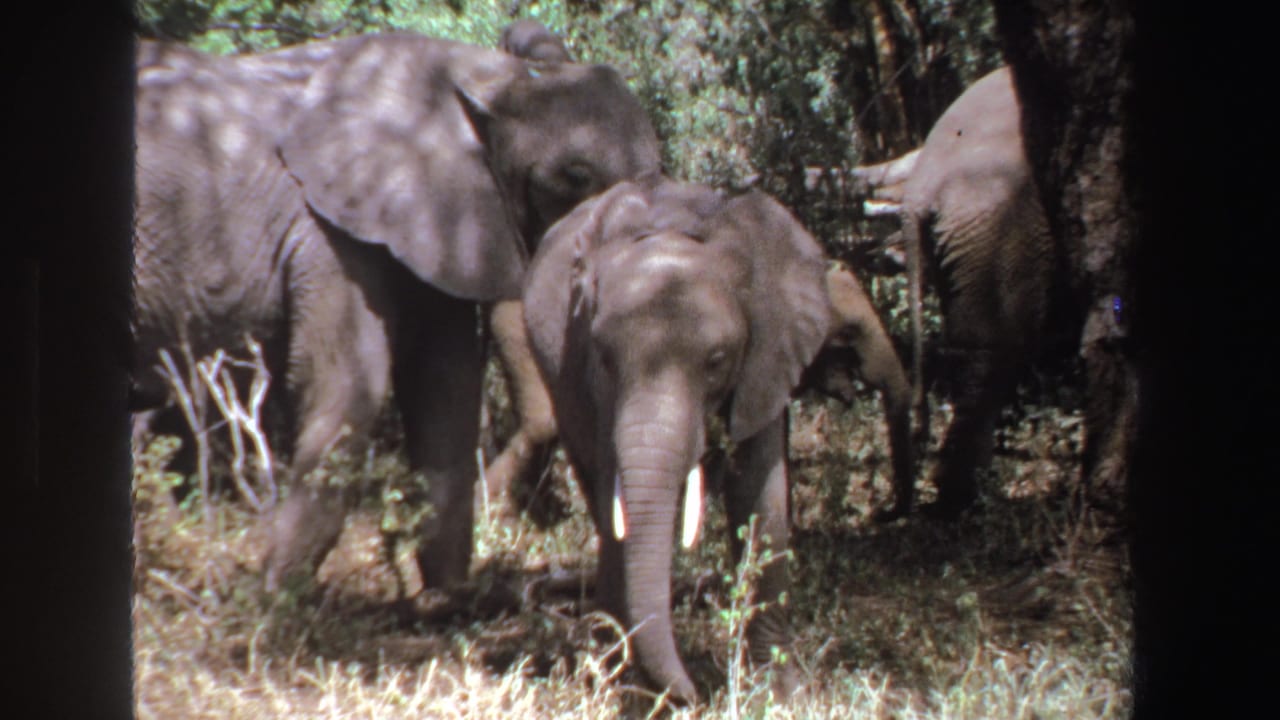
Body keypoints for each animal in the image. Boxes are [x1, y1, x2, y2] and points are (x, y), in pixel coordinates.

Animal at [132, 32, 662, 593]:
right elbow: (346, 383)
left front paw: (446, 595)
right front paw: (273, 595)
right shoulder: (329, 232)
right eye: (576, 176)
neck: (484, 75)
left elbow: (446, 391)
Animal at [523, 176, 912, 703]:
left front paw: (778, 692)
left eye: (717, 360)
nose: (693, 696)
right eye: (603, 356)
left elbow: (760, 488)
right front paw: (638, 693)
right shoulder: (581, 365)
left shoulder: (769, 350)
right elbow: (614, 487)